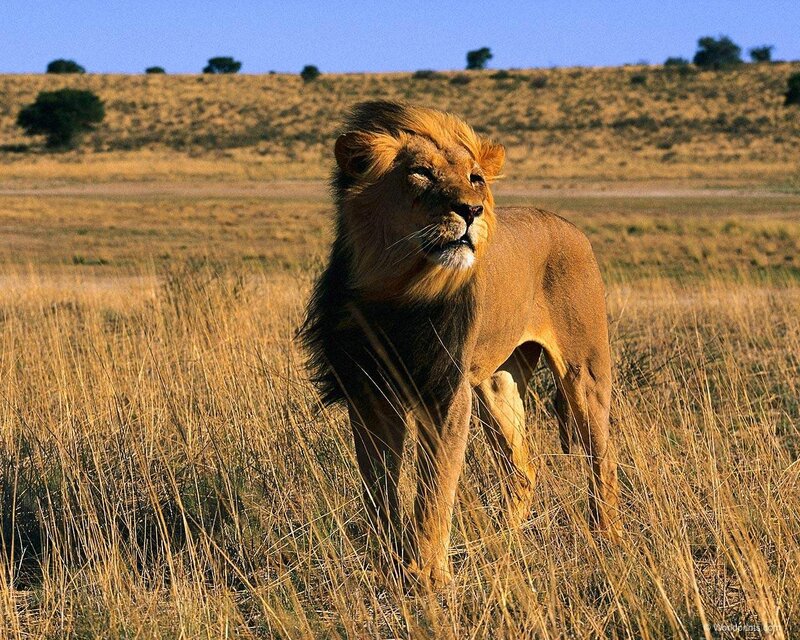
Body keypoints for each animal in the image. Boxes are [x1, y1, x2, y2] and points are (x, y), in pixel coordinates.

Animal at [300, 101, 621, 586]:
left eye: (475, 178)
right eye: (420, 173)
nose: (471, 211)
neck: (397, 289)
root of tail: (568, 224)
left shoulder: (446, 391)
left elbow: (435, 489)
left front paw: (429, 578)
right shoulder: (369, 391)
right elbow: (379, 489)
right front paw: (390, 567)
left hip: (583, 372)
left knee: (602, 456)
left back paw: (607, 539)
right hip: (497, 384)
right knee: (523, 471)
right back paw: (500, 544)